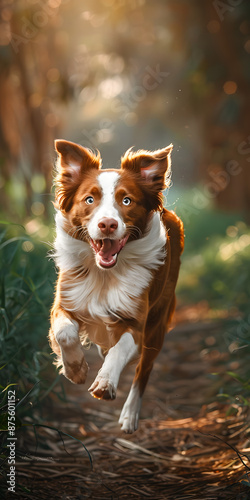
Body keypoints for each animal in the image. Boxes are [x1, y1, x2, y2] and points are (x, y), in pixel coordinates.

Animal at [48, 140, 185, 434]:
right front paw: (75, 369)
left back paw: (130, 415)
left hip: (157, 325)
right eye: (89, 199)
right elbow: (65, 334)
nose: (108, 224)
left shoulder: (136, 322)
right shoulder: (64, 303)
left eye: (126, 200)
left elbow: (121, 350)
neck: (104, 276)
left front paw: (105, 382)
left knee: (142, 372)